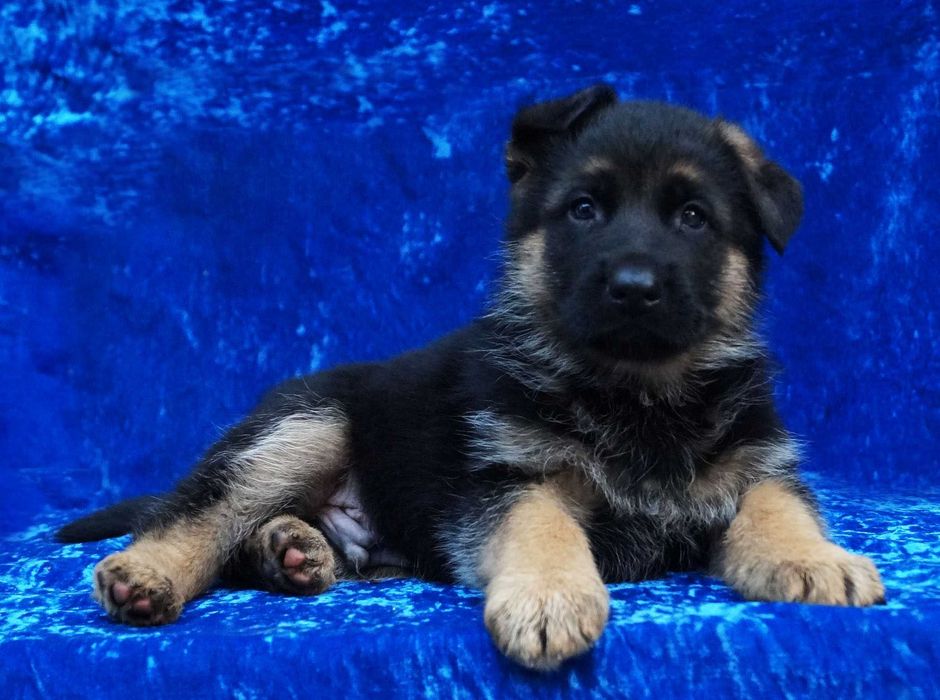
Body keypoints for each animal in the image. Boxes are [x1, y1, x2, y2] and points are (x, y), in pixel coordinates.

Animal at [57, 85, 885, 671]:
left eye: (693, 218)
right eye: (584, 210)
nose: (634, 286)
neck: (637, 393)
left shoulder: (757, 462)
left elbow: (779, 506)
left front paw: (814, 560)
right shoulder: (505, 478)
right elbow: (543, 523)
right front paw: (550, 596)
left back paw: (292, 549)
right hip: (306, 426)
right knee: (199, 509)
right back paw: (149, 573)